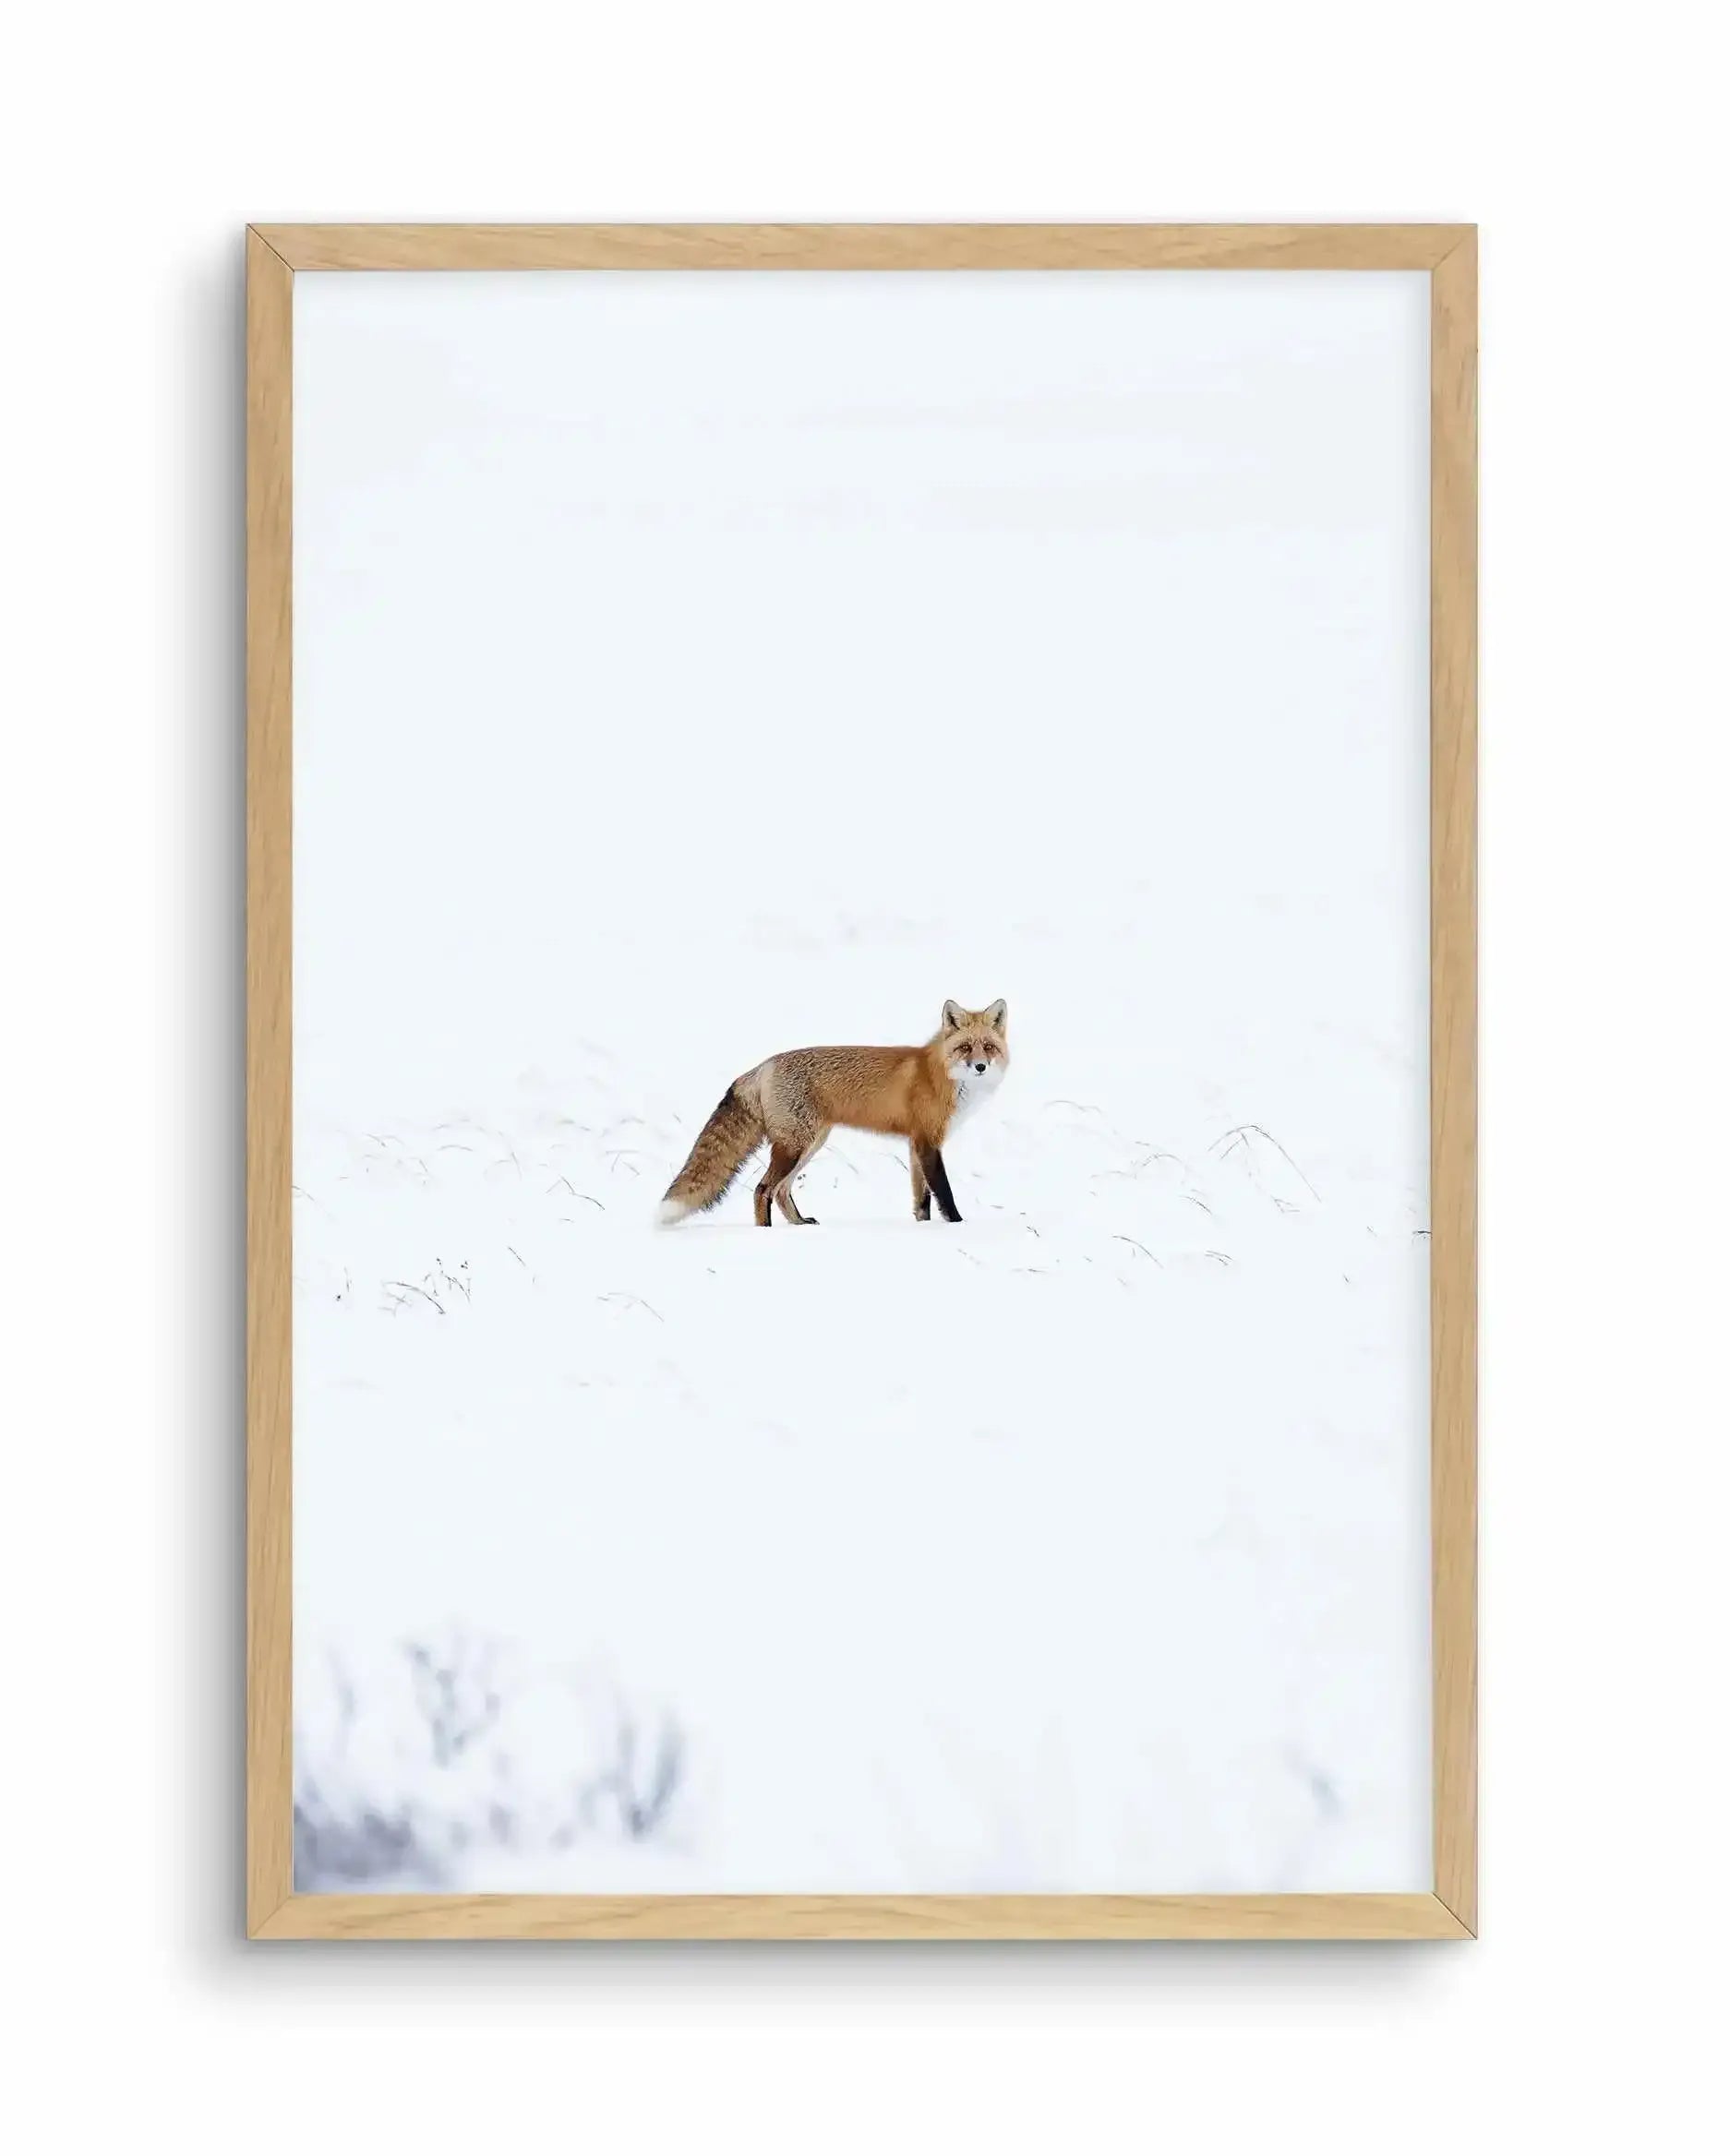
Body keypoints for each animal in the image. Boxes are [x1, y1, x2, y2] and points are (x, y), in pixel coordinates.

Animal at [658, 999, 1009, 1227]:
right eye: (965, 1048)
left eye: (988, 1047)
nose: (980, 1067)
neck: (942, 1076)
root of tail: (763, 1066)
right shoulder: (927, 1142)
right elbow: (944, 1194)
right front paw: (957, 1226)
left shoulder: (915, 1145)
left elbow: (921, 1199)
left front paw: (923, 1228)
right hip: (796, 1145)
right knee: (763, 1189)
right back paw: (766, 1233)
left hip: (810, 1144)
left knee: (781, 1190)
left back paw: (800, 1223)